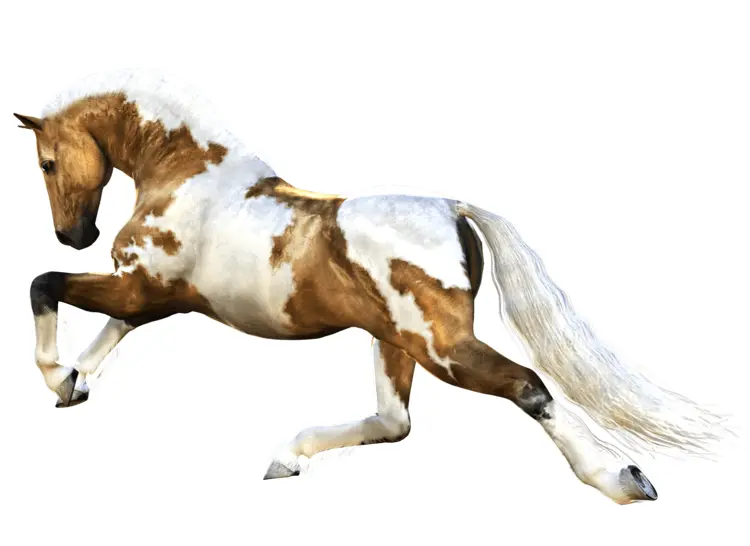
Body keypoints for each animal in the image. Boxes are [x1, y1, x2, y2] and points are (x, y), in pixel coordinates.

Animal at [14, 69, 729, 505]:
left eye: (46, 163)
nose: (74, 234)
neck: (188, 176)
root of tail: (454, 208)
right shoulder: (152, 296)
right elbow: (108, 330)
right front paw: (73, 384)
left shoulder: (143, 288)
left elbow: (43, 286)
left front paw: (55, 375)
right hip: (394, 339)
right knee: (394, 422)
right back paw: (286, 458)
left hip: (440, 346)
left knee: (527, 386)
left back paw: (622, 481)